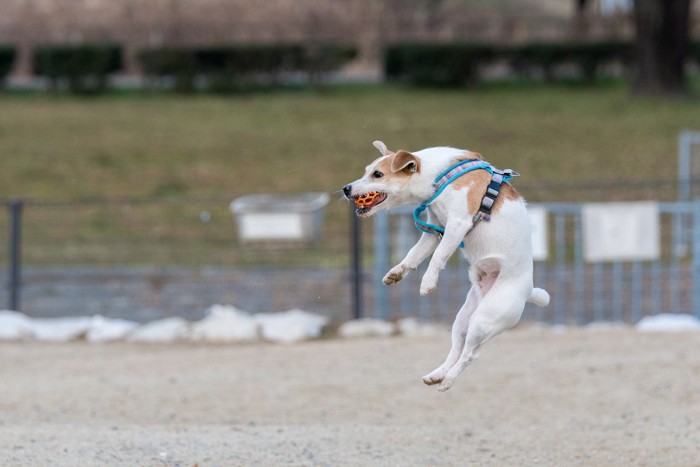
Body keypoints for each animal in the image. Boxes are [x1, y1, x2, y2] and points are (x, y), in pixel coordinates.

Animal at [342, 141, 548, 394]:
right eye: (366, 171)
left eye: (377, 174)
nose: (346, 189)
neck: (438, 177)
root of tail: (528, 290)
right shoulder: (434, 229)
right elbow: (415, 254)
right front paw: (396, 273)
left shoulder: (457, 224)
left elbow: (438, 256)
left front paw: (427, 283)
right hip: (463, 319)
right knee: (458, 349)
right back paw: (437, 375)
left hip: (485, 318)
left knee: (471, 355)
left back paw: (448, 380)